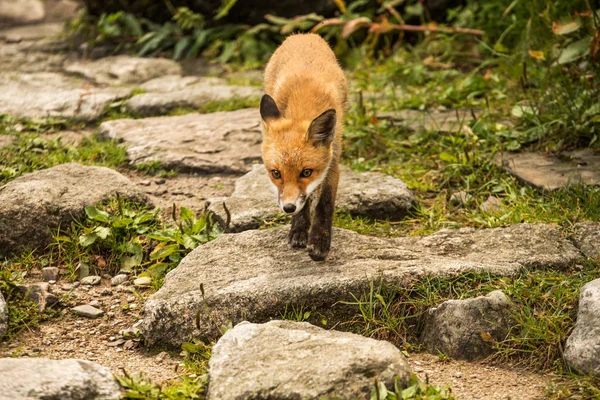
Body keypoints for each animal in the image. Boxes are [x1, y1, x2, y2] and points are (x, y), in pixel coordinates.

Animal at [258, 32, 346, 260]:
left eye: (306, 172)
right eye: (276, 173)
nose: (288, 208)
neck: (304, 99)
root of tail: (303, 34)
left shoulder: (333, 160)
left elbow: (325, 202)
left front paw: (319, 241)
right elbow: (305, 202)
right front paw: (298, 228)